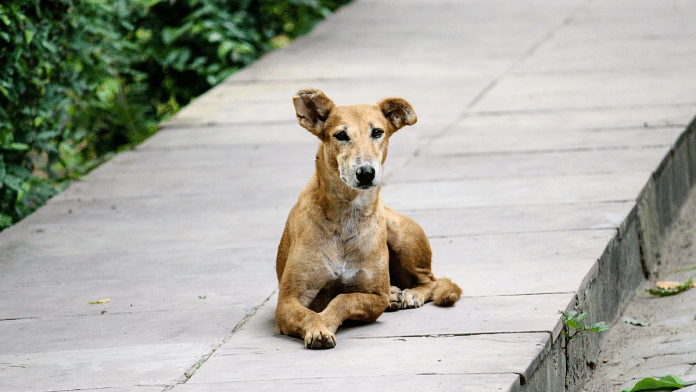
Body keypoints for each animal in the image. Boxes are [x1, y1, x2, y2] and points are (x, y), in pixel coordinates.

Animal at [274, 89, 462, 350]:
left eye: (377, 132)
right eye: (341, 135)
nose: (365, 173)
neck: (347, 215)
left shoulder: (375, 296)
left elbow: (344, 298)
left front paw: (326, 320)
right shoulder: (288, 300)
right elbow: (308, 313)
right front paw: (318, 327)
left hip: (398, 231)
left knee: (431, 280)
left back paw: (411, 293)